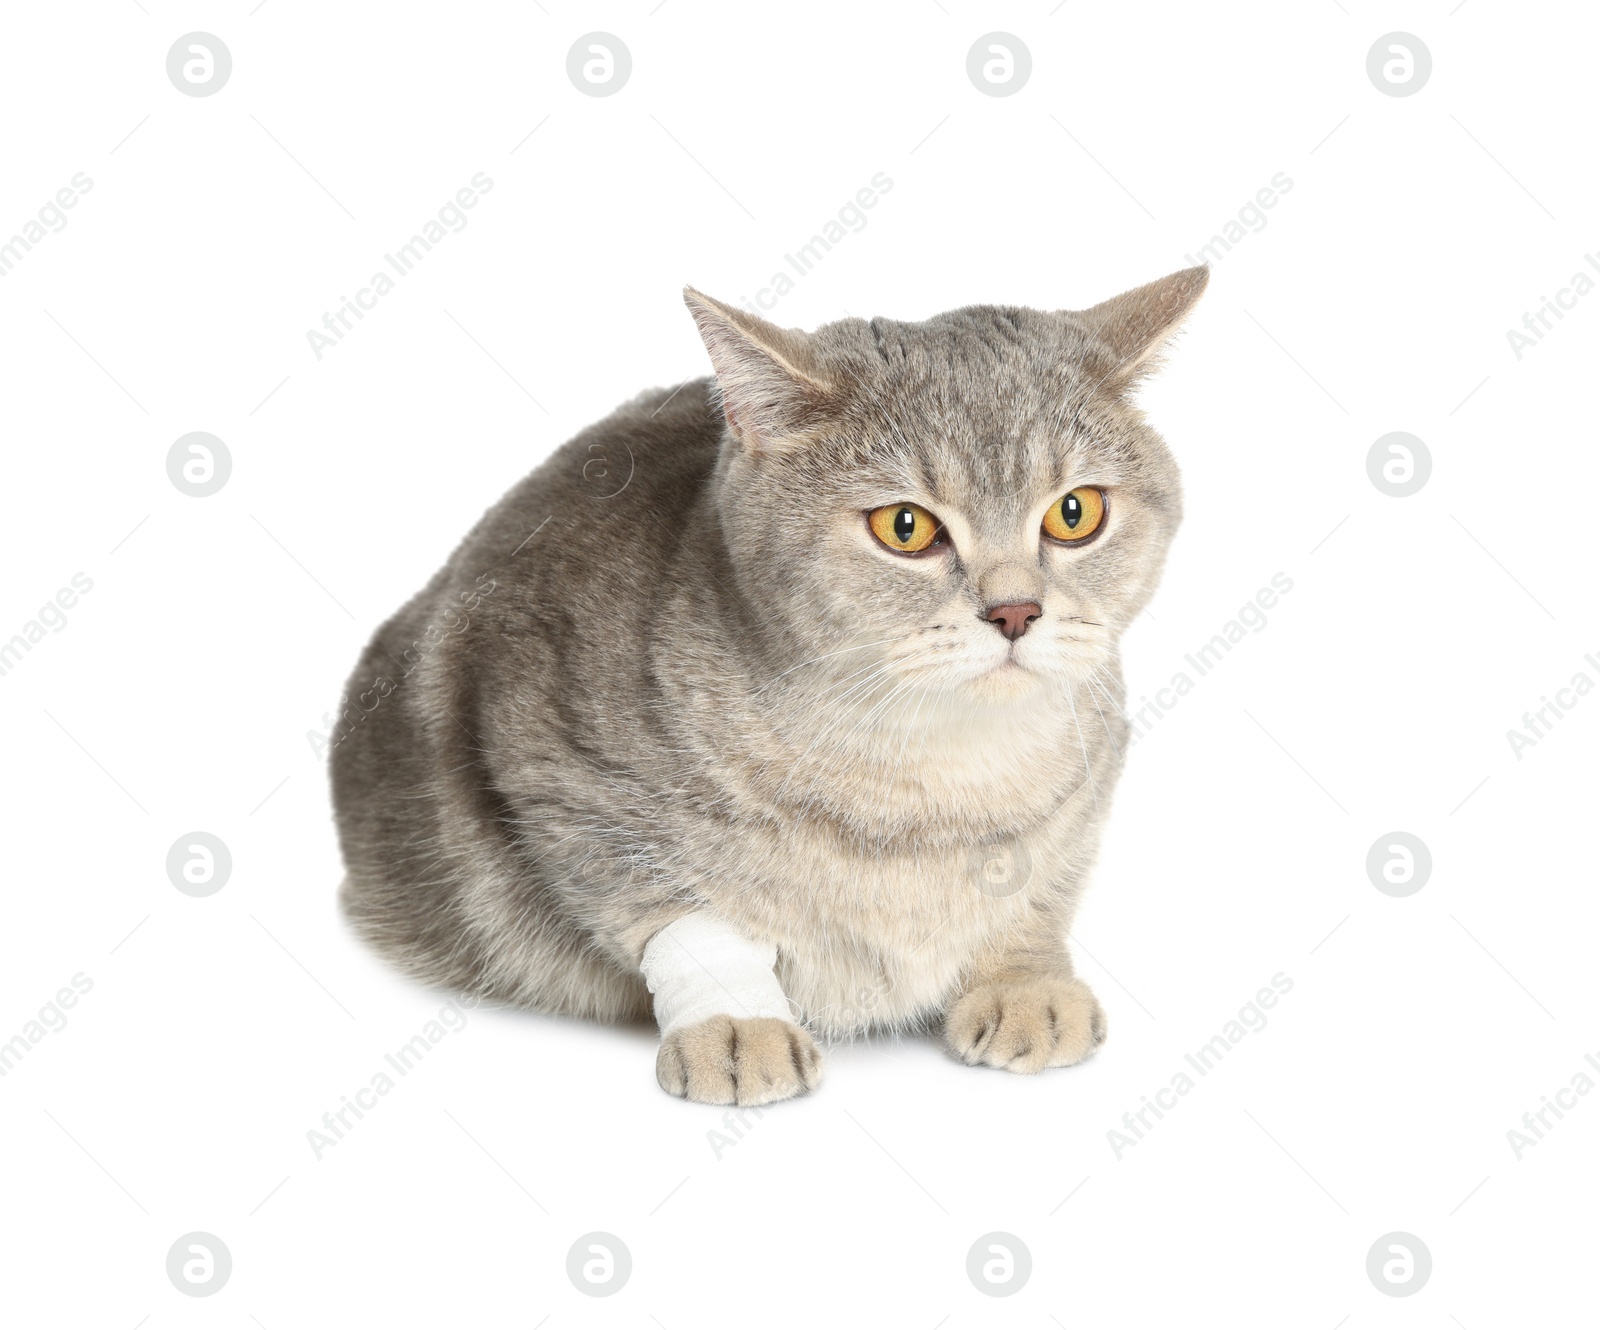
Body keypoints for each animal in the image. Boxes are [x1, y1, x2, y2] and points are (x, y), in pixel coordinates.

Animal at [331, 265, 1203, 1107]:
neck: (934, 785)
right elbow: (678, 911)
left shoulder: (1090, 782)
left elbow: (1039, 884)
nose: (1016, 610)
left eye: (1073, 513)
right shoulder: (556, 777)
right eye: (906, 528)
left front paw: (1024, 978)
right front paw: (735, 1020)